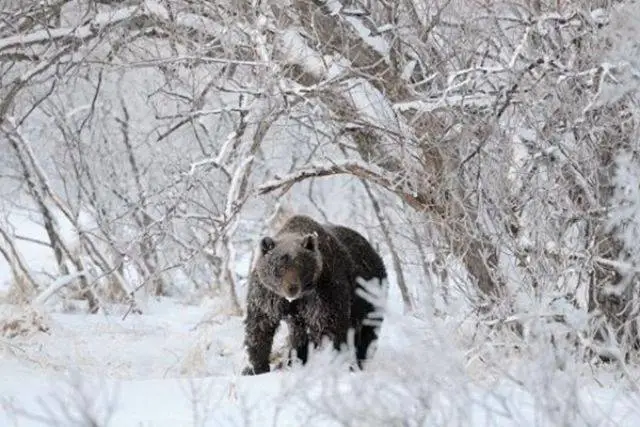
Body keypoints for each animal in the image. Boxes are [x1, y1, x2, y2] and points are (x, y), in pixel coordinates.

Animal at [241, 214, 387, 375]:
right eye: (279, 266)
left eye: (299, 265)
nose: (292, 288)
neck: (296, 298)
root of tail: (371, 248)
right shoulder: (268, 295)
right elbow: (260, 325)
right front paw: (255, 367)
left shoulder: (323, 293)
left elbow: (329, 326)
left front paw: (329, 361)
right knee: (299, 335)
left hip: (369, 295)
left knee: (368, 330)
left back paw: (358, 361)